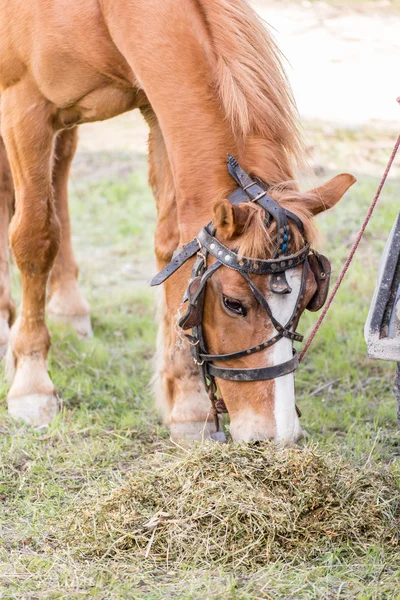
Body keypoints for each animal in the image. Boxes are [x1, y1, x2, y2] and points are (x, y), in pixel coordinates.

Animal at [0, 0, 356, 440]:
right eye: (234, 304)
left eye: (309, 299)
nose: (276, 433)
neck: (102, 12)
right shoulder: (24, 106)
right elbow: (36, 236)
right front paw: (31, 384)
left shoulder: (156, 109)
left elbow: (173, 244)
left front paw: (188, 404)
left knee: (61, 166)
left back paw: (67, 304)